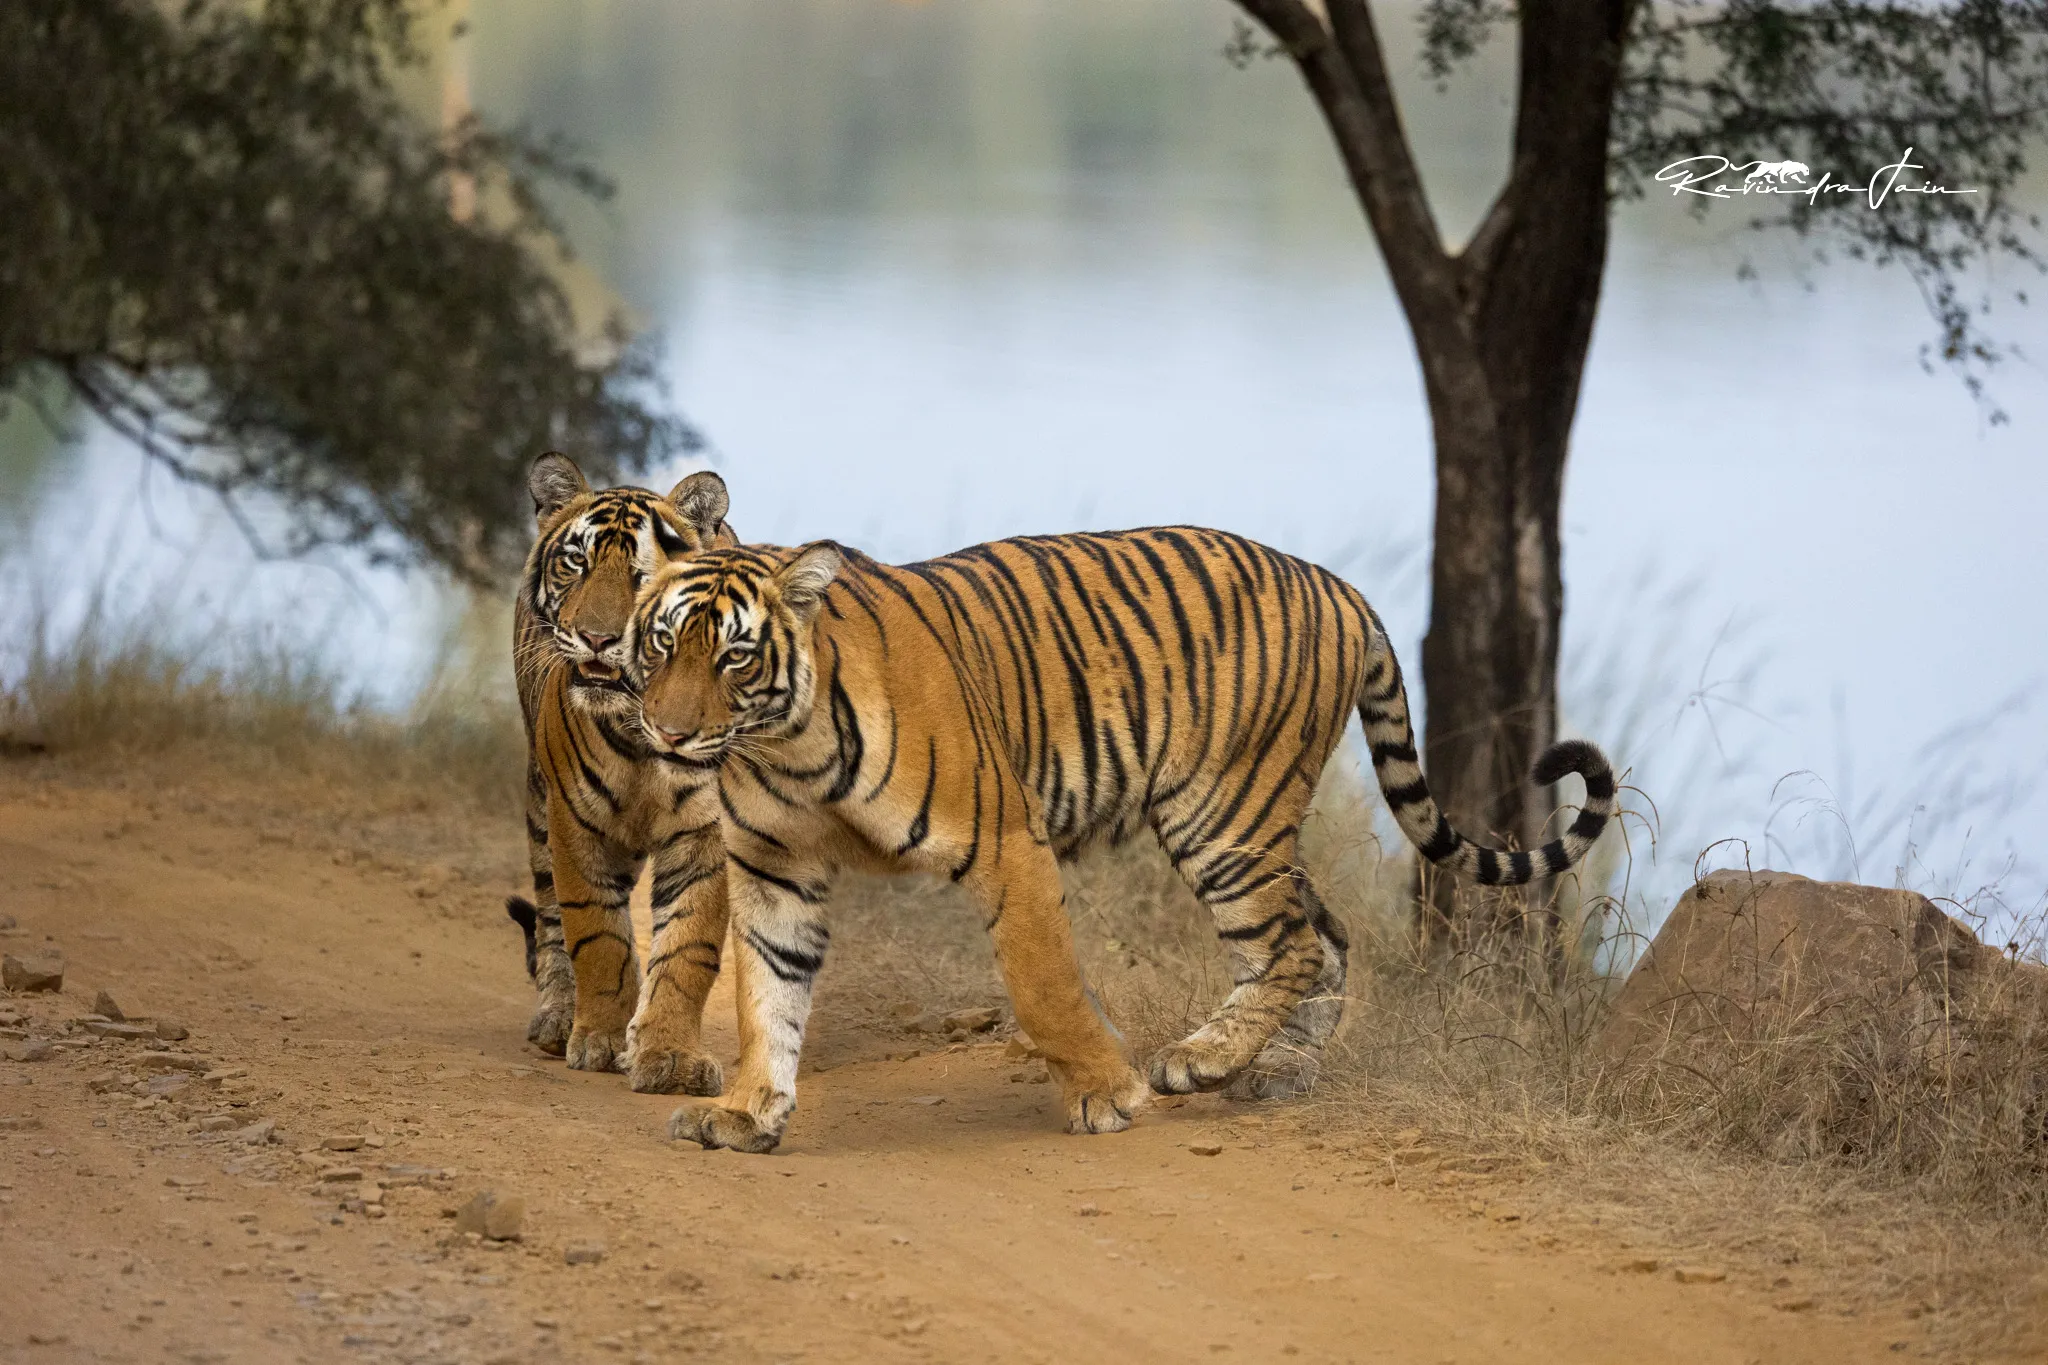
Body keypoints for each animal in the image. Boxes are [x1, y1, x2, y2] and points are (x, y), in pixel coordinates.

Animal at [507, 450, 742, 1095]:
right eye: (577, 564)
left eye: (644, 575)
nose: (597, 638)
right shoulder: (575, 823)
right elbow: (598, 936)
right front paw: (602, 1038)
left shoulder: (705, 835)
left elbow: (687, 949)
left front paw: (670, 1057)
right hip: (539, 807)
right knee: (551, 919)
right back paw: (558, 1018)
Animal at [620, 528, 1617, 1153]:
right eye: (661, 645)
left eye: (734, 655)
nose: (668, 732)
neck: (784, 745)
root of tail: (1341, 585)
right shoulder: (774, 869)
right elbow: (767, 996)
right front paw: (747, 1113)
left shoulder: (1007, 841)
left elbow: (1044, 984)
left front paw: (1108, 1091)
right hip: (1254, 828)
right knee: (1326, 936)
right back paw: (1276, 1068)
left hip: (1221, 814)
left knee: (1292, 943)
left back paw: (1201, 1057)